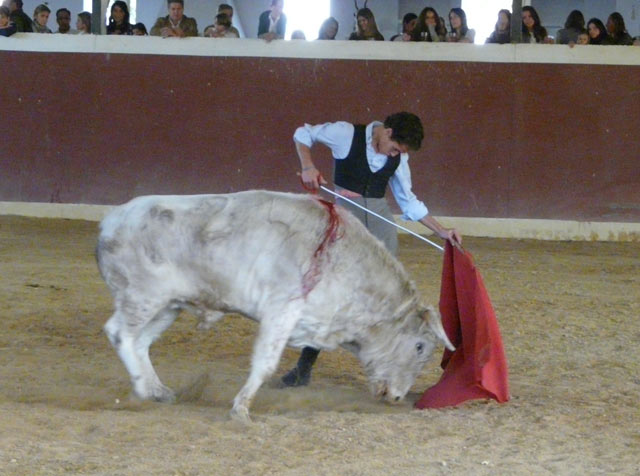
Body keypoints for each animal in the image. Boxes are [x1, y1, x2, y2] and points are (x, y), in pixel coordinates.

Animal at [96, 190, 456, 420]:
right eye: (420, 346)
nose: (397, 397)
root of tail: (109, 222)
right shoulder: (281, 310)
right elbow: (264, 363)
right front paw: (241, 409)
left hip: (168, 305)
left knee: (140, 343)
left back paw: (157, 390)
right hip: (142, 296)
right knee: (120, 333)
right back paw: (143, 389)